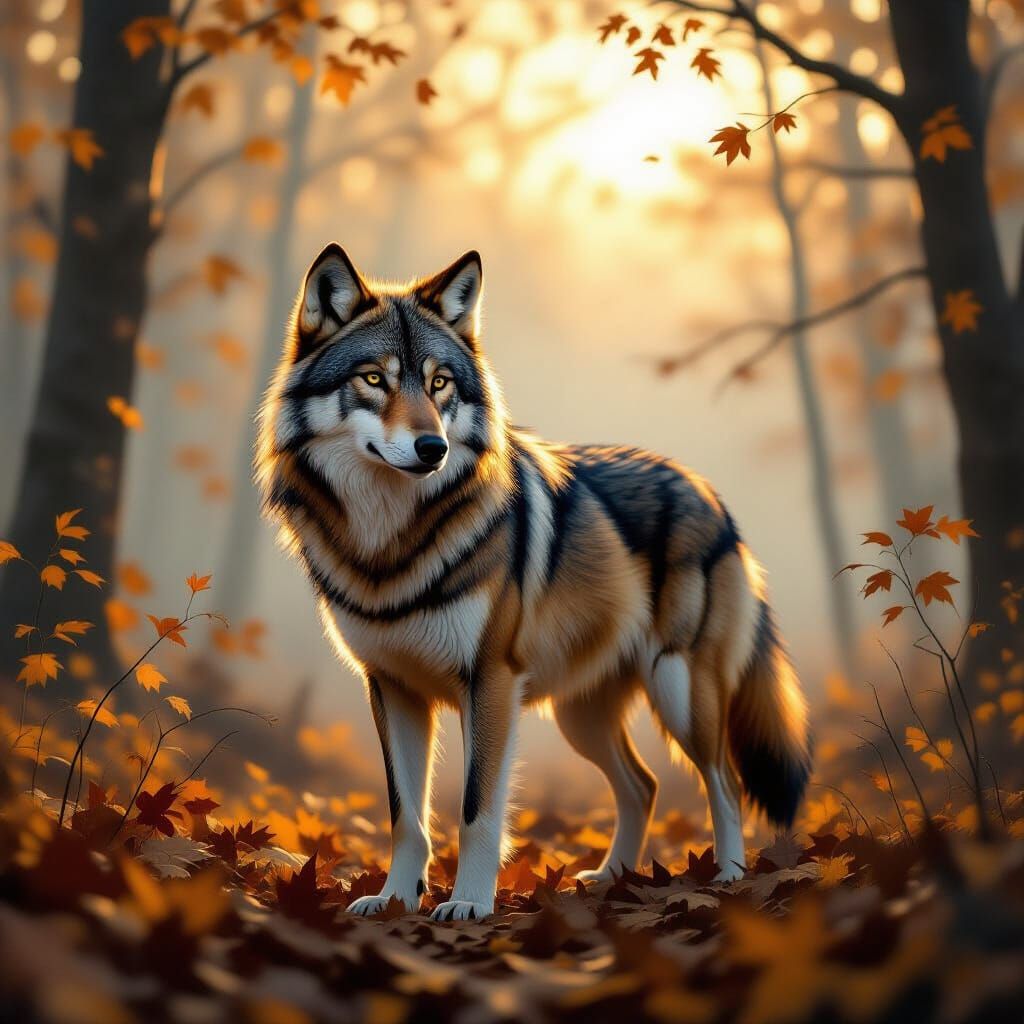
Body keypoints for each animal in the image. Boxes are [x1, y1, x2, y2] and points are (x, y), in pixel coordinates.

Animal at [256, 244, 811, 921]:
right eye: (374, 379)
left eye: (439, 383)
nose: (432, 448)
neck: (390, 544)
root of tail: (709, 492)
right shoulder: (391, 687)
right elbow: (406, 815)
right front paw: (392, 899)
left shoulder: (490, 681)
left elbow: (476, 810)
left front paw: (468, 904)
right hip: (582, 717)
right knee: (644, 785)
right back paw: (611, 878)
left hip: (679, 689)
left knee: (723, 781)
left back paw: (728, 879)